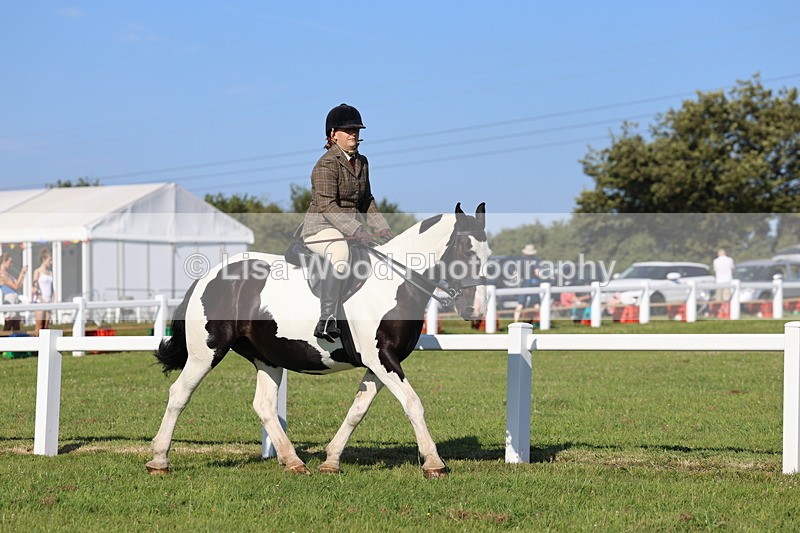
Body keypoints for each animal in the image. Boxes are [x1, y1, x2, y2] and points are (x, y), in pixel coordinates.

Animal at [146, 203, 491, 479]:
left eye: (488, 255)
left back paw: (294, 462)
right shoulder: (382, 358)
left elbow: (357, 410)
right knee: (179, 394)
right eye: (466, 251)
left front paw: (331, 461)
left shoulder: (379, 363)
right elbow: (413, 404)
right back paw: (159, 460)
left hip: (267, 357)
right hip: (207, 352)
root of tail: (208, 276)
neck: (394, 283)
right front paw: (434, 463)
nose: (475, 309)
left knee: (264, 405)